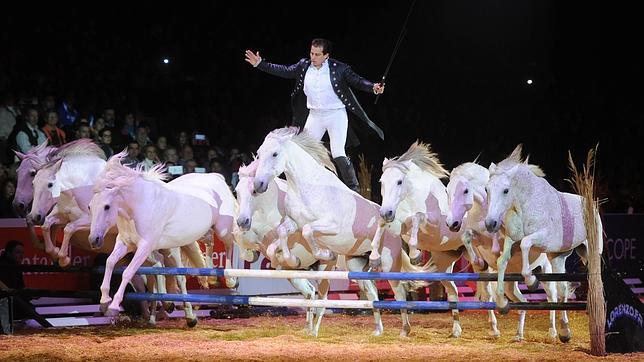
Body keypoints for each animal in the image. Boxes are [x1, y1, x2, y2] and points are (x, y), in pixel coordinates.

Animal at [85, 151, 236, 320]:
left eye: (106, 206)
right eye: (90, 206)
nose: (94, 240)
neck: (139, 206)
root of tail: (216, 177)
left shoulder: (145, 247)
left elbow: (128, 272)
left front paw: (114, 306)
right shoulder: (125, 243)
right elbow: (110, 262)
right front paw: (105, 301)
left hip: (222, 229)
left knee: (230, 243)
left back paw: (230, 280)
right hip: (199, 232)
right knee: (209, 241)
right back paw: (210, 277)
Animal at [448, 161, 560, 340]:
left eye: (465, 190)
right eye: (447, 190)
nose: (452, 223)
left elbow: (499, 245)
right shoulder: (478, 238)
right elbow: (468, 238)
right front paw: (479, 262)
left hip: (545, 270)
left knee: (552, 296)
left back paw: (553, 331)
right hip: (510, 283)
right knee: (523, 302)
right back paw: (519, 334)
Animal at [486, 145, 600, 342]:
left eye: (506, 190)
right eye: (487, 189)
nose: (490, 223)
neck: (524, 205)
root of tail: (592, 204)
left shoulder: (542, 238)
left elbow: (525, 244)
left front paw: (531, 280)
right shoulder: (511, 241)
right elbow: (502, 261)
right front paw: (502, 303)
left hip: (591, 251)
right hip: (558, 257)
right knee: (562, 292)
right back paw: (564, 331)